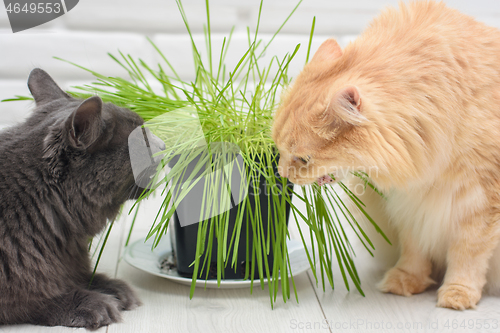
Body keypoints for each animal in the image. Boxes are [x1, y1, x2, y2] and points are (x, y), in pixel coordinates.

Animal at [0, 68, 146, 328]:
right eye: (141, 139)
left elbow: (84, 275)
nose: (165, 144)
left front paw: (114, 288)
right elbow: (33, 298)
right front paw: (91, 302)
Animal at [276, 1, 500, 310]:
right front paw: (406, 281)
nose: (281, 173)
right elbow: (414, 249)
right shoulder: (408, 203)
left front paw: (457, 294)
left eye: (303, 160)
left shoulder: (480, 201)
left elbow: (468, 255)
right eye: (278, 150)